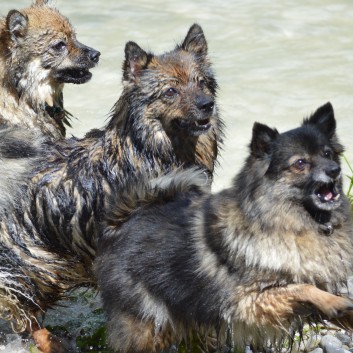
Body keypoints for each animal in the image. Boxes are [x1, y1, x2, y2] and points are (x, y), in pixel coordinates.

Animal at [0, 23, 221, 350]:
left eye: (201, 83)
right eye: (170, 91)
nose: (207, 105)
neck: (151, 151)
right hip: (38, 265)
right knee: (25, 312)